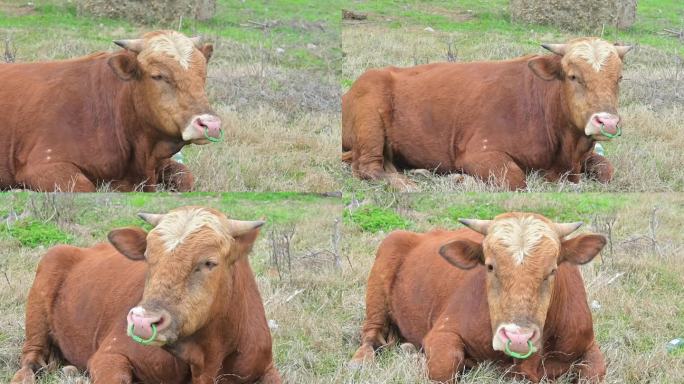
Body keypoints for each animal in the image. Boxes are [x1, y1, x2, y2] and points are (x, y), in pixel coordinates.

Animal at [0, 30, 222, 192]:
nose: (210, 124)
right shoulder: (43, 165)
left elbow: (186, 177)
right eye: (158, 76)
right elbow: (84, 187)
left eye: (203, 74)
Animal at [10, 207, 280, 384]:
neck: (207, 359)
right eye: (148, 256)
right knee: (30, 358)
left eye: (209, 262)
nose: (142, 321)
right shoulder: (109, 355)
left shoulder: (266, 366)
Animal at [344, 37, 632, 190]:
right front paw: (461, 179)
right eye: (573, 76)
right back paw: (406, 185)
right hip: (370, 121)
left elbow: (607, 169)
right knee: (367, 167)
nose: (607, 122)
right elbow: (515, 179)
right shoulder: (478, 153)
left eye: (619, 78)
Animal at [350, 212, 608, 382]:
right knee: (370, 334)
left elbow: (596, 371)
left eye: (552, 270)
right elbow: (443, 367)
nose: (518, 338)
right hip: (382, 273)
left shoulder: (587, 343)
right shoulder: (442, 332)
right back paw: (361, 361)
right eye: (490, 266)